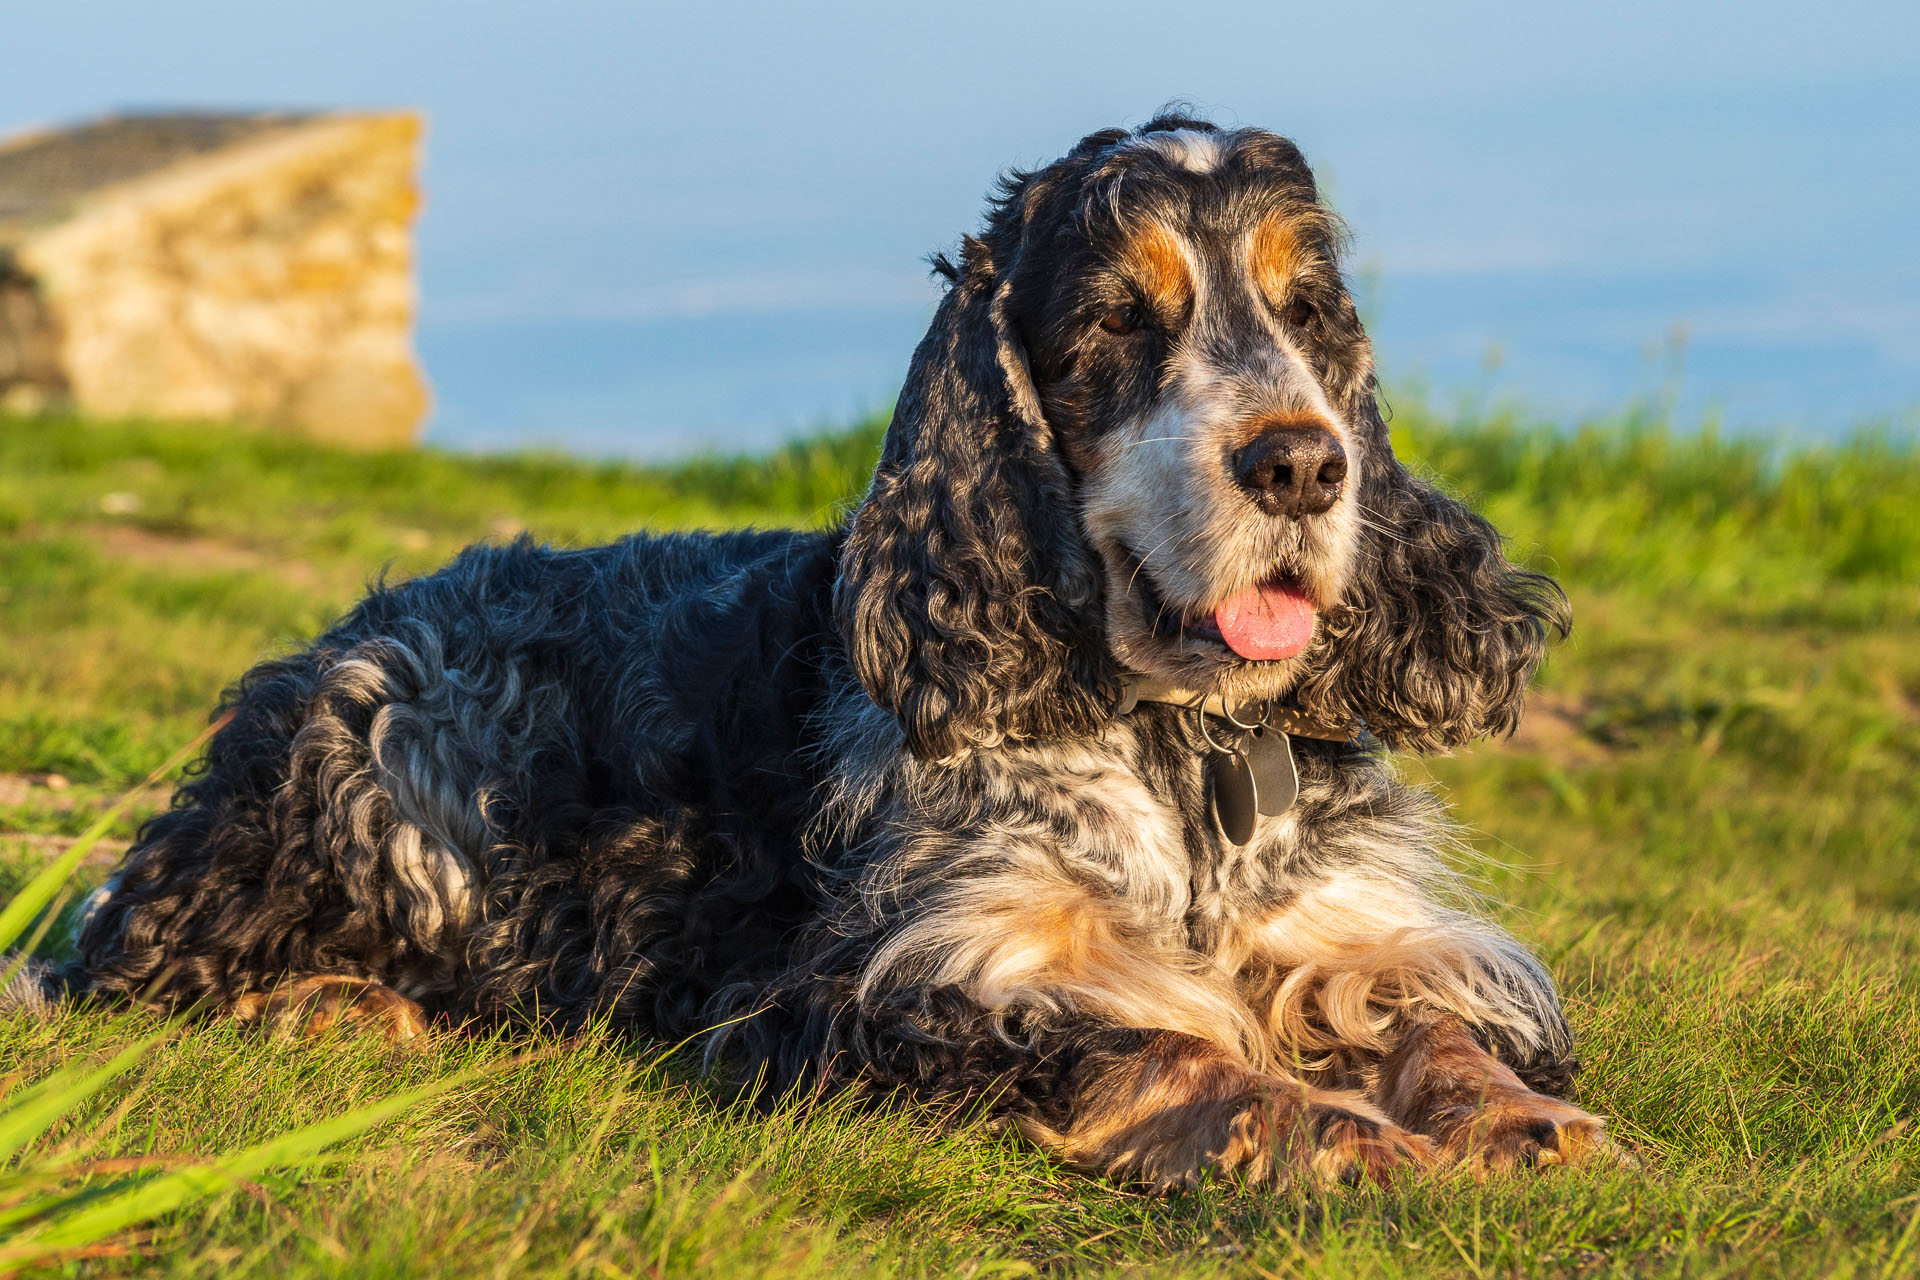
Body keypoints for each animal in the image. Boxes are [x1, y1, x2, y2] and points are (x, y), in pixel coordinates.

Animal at [60, 115, 1612, 1189]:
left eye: (1310, 313)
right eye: (1118, 318)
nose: (1301, 464)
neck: (1177, 750)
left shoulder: (1358, 929)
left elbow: (1437, 1018)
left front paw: (1530, 1120)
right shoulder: (900, 982)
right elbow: (1160, 1041)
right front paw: (1341, 1136)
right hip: (389, 744)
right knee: (136, 958)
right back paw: (338, 1009)